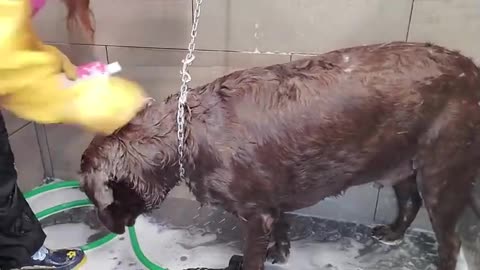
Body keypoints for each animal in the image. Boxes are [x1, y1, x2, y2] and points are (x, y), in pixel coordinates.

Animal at [79, 42, 480, 270]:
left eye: (90, 194)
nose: (105, 227)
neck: (186, 132)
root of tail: (471, 68)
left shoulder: (255, 213)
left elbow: (254, 255)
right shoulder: (272, 202)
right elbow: (282, 228)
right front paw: (281, 252)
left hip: (442, 171)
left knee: (450, 240)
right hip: (402, 164)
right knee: (409, 201)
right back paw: (392, 233)